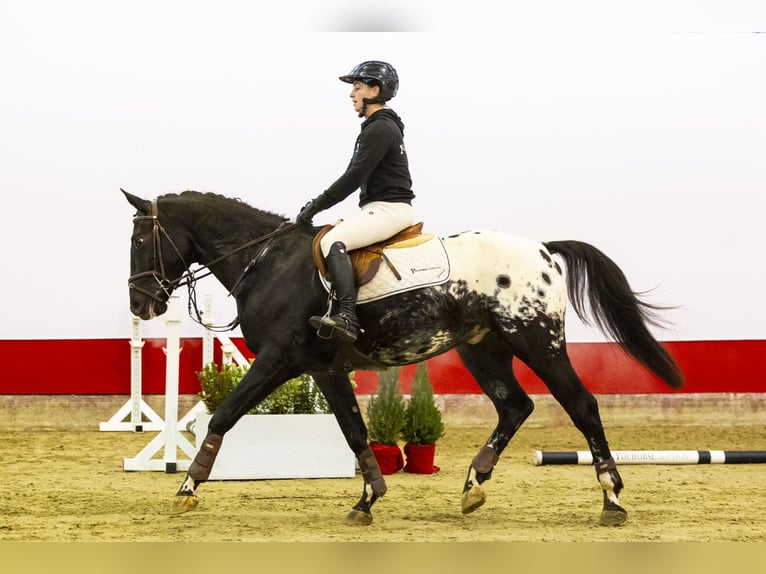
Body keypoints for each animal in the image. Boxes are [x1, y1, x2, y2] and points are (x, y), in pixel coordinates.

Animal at [123, 189, 688, 528]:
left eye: (139, 239)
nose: (139, 305)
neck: (268, 262)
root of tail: (544, 250)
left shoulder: (278, 361)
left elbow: (223, 414)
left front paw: (188, 487)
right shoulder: (325, 370)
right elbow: (354, 431)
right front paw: (368, 498)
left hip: (537, 341)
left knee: (581, 406)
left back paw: (611, 499)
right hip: (484, 350)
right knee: (515, 406)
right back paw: (473, 486)